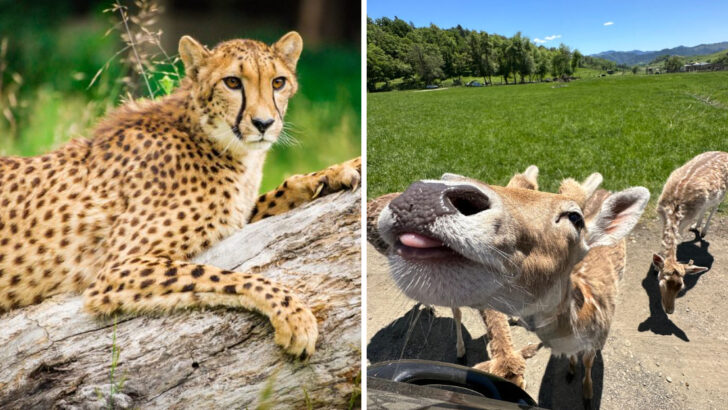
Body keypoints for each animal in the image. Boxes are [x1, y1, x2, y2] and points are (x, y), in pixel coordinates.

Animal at [0, 31, 361, 357]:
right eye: (232, 82)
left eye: (278, 82)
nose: (264, 123)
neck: (213, 139)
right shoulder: (117, 269)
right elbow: (226, 275)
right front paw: (294, 314)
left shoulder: (236, 215)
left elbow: (271, 197)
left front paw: (335, 172)